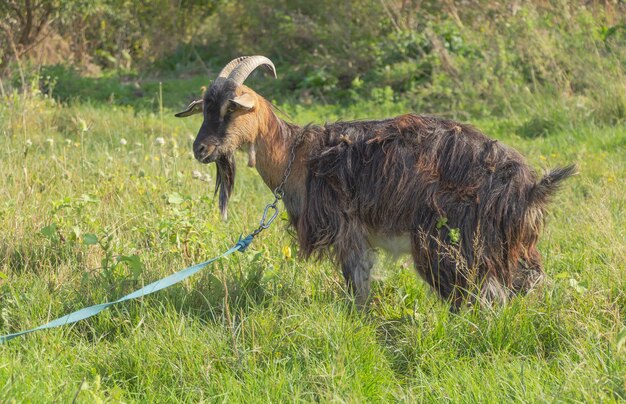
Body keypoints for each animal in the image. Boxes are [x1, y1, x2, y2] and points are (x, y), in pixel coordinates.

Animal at [176, 56, 576, 310]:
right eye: (204, 108)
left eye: (230, 109)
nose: (200, 148)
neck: (296, 154)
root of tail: (528, 188)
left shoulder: (347, 228)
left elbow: (357, 282)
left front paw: (359, 318)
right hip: (512, 247)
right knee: (526, 283)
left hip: (455, 241)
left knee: (484, 296)